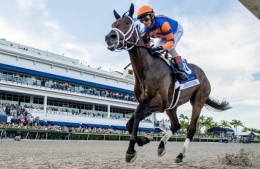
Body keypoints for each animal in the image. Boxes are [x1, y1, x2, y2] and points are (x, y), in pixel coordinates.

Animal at [104, 3, 231, 163]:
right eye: (112, 25)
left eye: (127, 22)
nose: (110, 38)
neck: (147, 68)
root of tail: (204, 75)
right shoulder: (146, 102)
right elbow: (129, 123)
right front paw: (143, 140)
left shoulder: (159, 102)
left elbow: (137, 115)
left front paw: (131, 150)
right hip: (172, 106)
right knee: (176, 125)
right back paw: (161, 145)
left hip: (197, 102)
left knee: (190, 129)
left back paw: (180, 155)